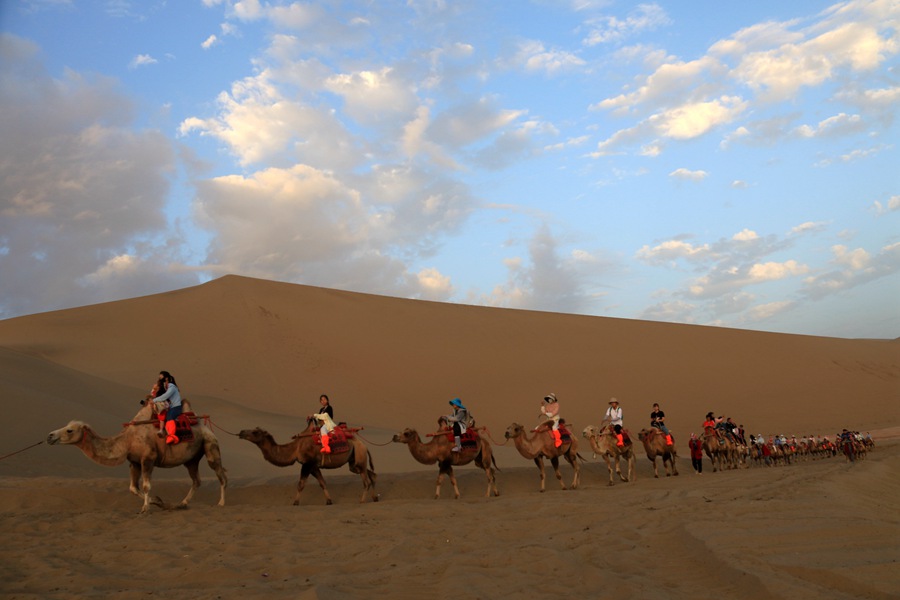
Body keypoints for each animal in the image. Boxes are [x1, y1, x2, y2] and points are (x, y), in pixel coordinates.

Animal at [45, 400, 229, 512]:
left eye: (69, 430)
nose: (50, 436)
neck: (127, 440)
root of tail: (206, 427)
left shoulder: (148, 459)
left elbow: (146, 485)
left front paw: (145, 508)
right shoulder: (134, 462)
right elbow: (133, 488)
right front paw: (158, 501)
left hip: (211, 445)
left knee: (221, 475)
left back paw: (221, 503)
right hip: (191, 459)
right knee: (196, 480)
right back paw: (182, 503)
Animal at [236, 422, 376, 506]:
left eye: (255, 432)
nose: (241, 432)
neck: (295, 448)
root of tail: (364, 445)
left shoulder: (307, 464)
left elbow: (301, 484)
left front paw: (295, 502)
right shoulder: (313, 465)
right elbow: (322, 482)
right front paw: (329, 501)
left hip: (359, 457)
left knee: (366, 480)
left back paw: (362, 500)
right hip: (354, 462)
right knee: (371, 474)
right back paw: (375, 498)